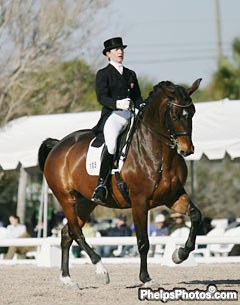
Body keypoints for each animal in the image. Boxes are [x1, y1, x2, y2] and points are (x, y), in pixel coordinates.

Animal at [38, 77, 202, 286]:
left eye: (192, 112)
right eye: (174, 115)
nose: (186, 150)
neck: (160, 155)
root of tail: (58, 145)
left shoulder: (173, 196)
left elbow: (196, 215)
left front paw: (179, 254)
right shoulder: (139, 202)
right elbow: (143, 242)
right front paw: (146, 278)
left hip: (86, 202)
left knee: (67, 233)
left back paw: (67, 278)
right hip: (66, 198)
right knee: (75, 231)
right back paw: (101, 270)